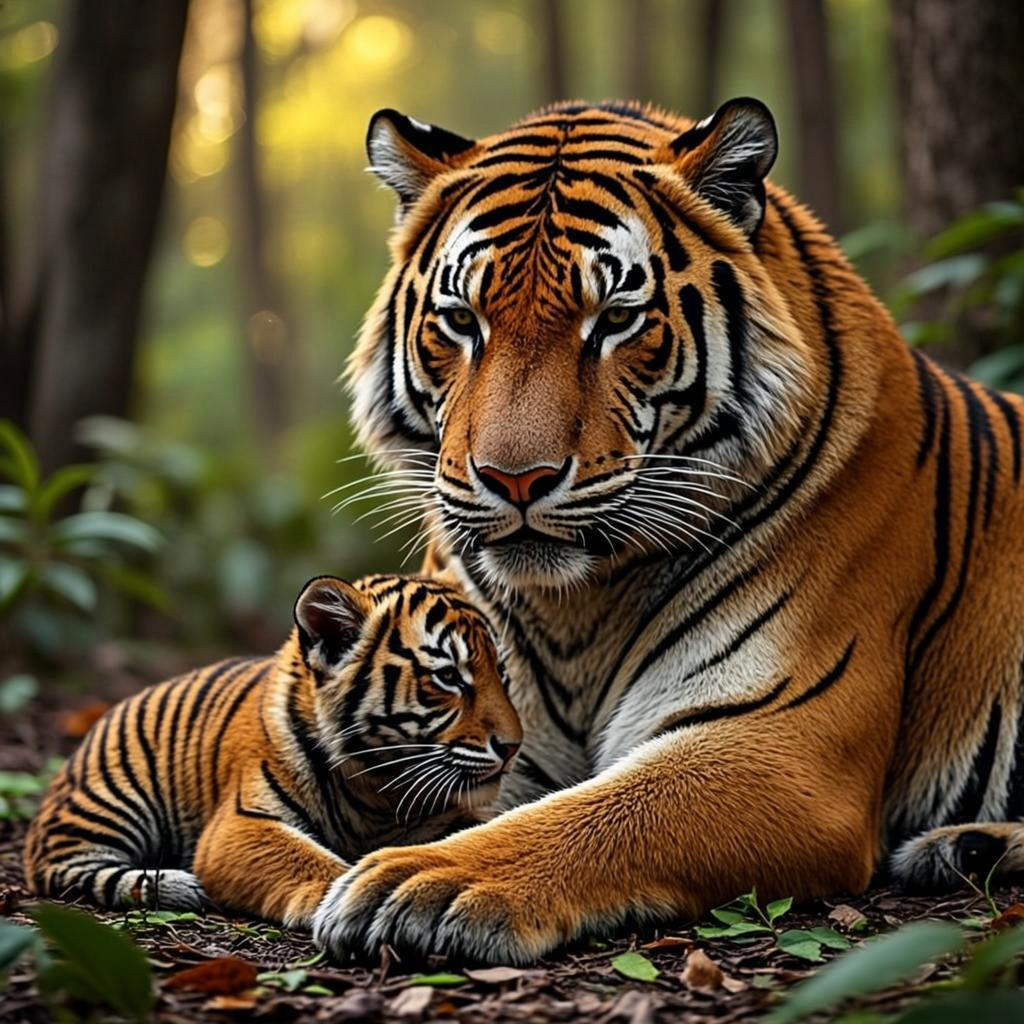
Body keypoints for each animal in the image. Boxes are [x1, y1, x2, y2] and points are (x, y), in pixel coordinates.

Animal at [24, 573, 522, 928]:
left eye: (502, 674)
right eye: (449, 677)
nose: (513, 746)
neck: (376, 786)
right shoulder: (241, 823)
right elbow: (314, 862)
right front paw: (349, 899)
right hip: (113, 802)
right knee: (64, 868)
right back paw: (175, 886)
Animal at [306, 96, 1024, 966]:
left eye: (616, 320)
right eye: (462, 321)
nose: (516, 480)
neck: (575, 607)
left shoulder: (781, 743)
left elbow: (608, 811)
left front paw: (417, 879)